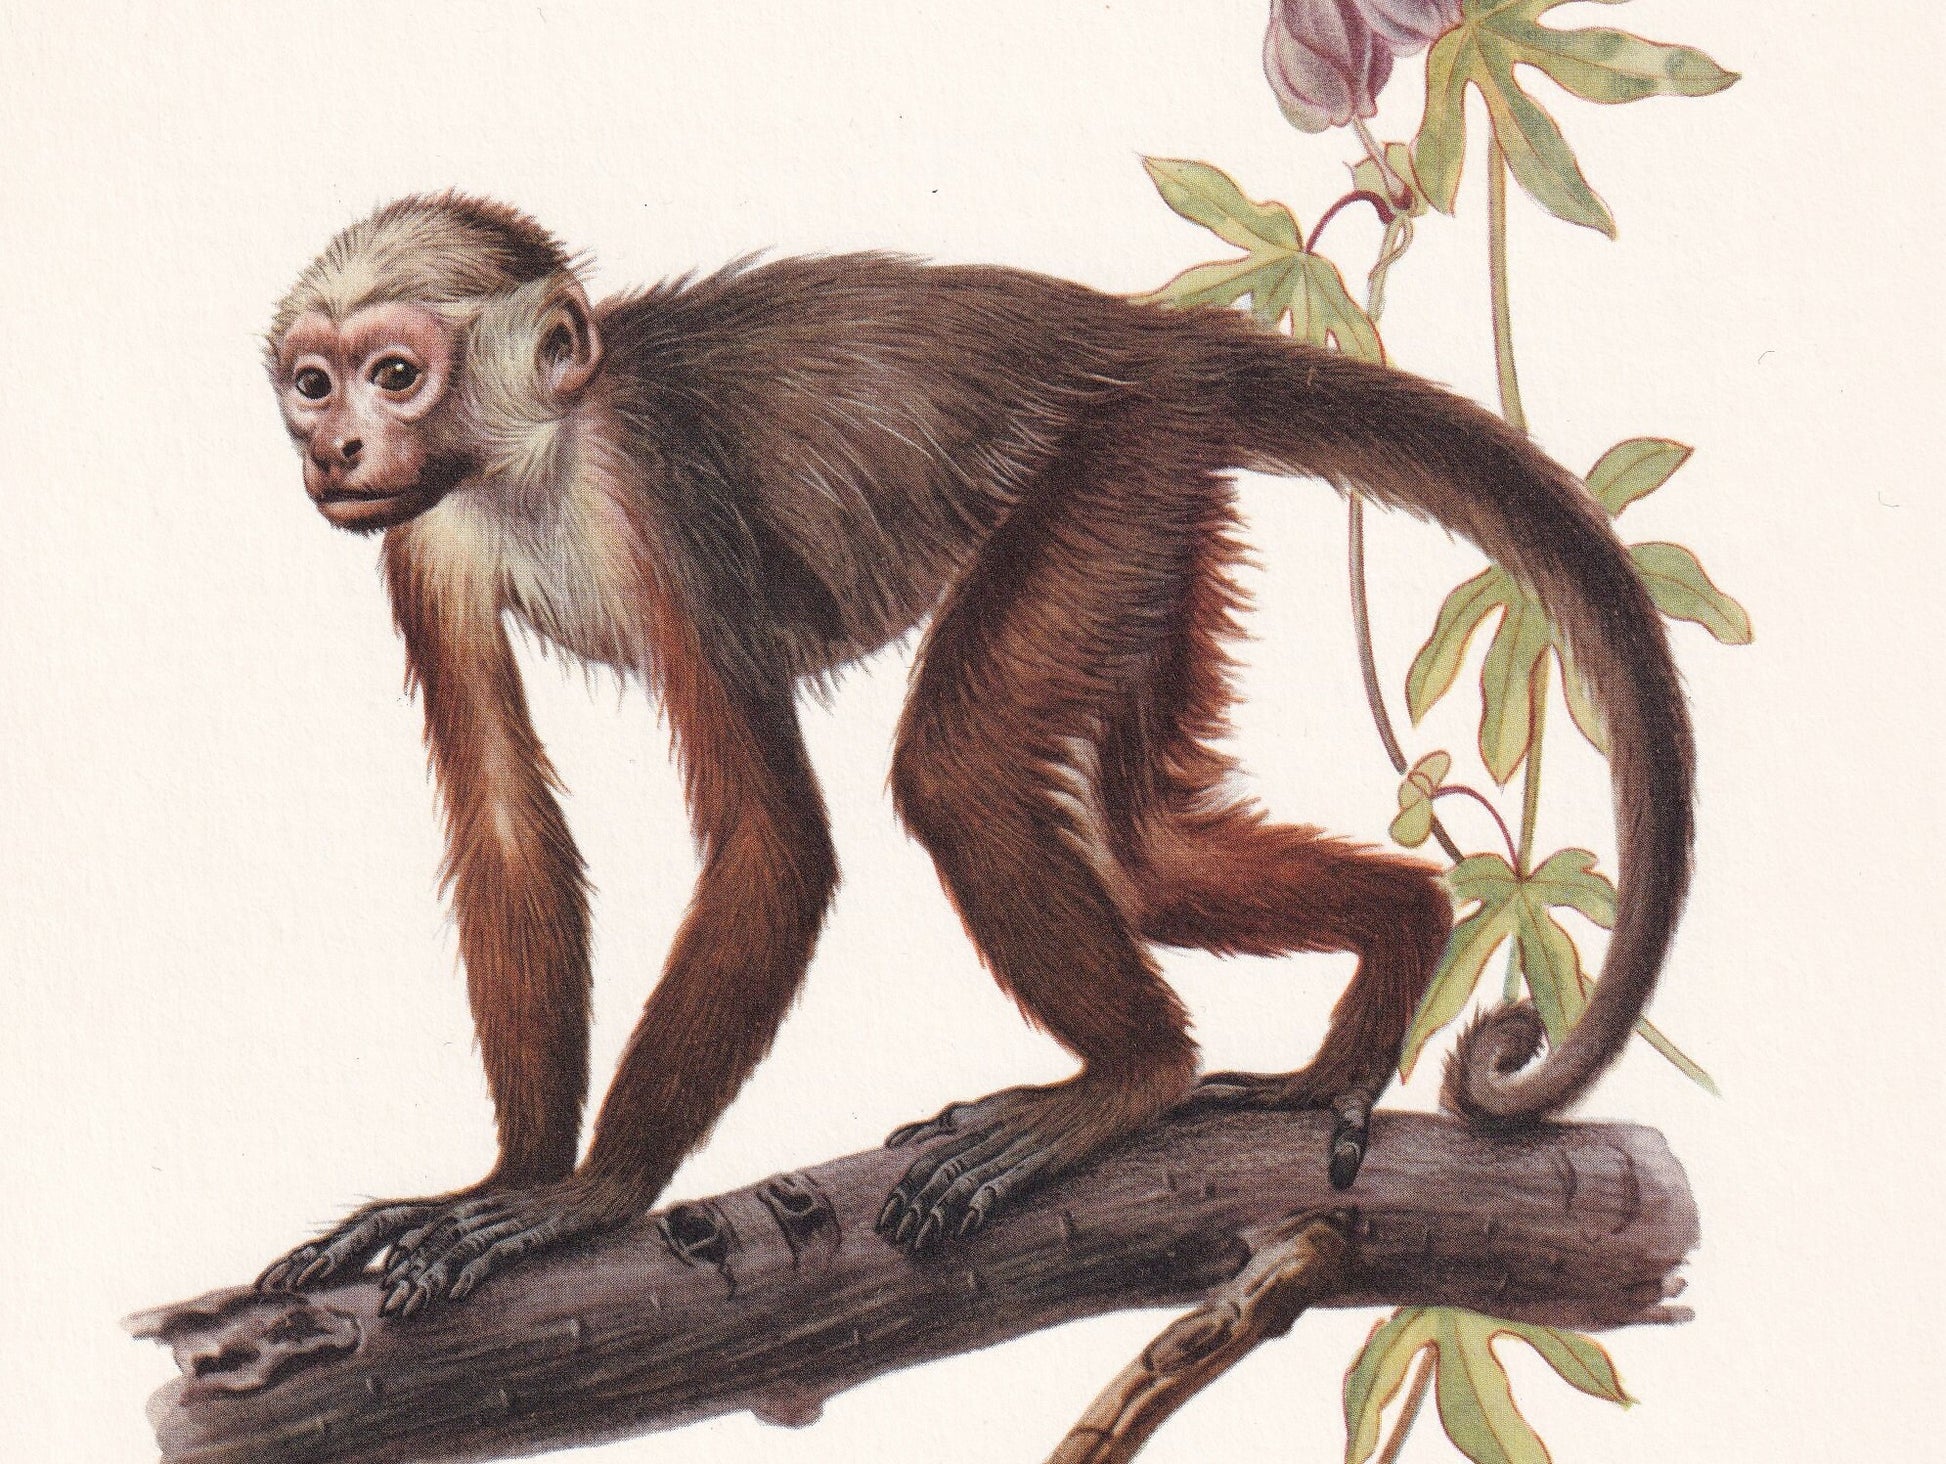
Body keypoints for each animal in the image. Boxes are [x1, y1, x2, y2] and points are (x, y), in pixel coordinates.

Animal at [253, 194, 1691, 1315]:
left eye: (394, 373)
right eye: (314, 383)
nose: (333, 446)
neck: (537, 458)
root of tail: (1151, 331)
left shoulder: (663, 499)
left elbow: (775, 839)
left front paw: (594, 1196)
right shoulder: (422, 534)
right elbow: (502, 822)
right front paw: (508, 1180)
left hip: (1113, 463)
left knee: (959, 771)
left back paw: (1131, 1078)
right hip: (1160, 502)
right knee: (1144, 853)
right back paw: (1390, 943)